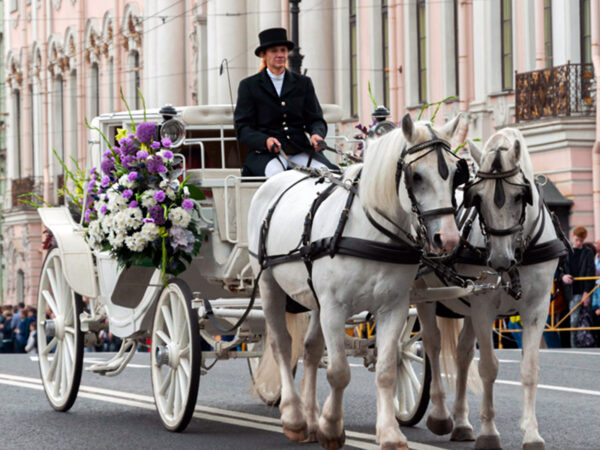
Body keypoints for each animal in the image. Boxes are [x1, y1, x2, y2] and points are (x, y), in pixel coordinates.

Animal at [248, 113, 464, 450]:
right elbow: (338, 372)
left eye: (455, 173)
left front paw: (389, 434)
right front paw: (332, 428)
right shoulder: (335, 308)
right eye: (416, 176)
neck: (368, 230)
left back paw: (310, 419)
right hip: (269, 284)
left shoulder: (393, 308)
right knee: (281, 344)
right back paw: (295, 418)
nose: (449, 238)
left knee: (310, 350)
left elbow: (387, 370)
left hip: (314, 300)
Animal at [420, 127, 564, 450]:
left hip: (467, 309)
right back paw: (440, 415)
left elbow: (529, 370)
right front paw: (489, 432)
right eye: (477, 198)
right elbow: (488, 367)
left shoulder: (536, 308)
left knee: (461, 355)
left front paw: (531, 434)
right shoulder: (484, 307)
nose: (499, 260)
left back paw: (461, 423)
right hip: (423, 299)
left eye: (520, 196)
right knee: (432, 346)